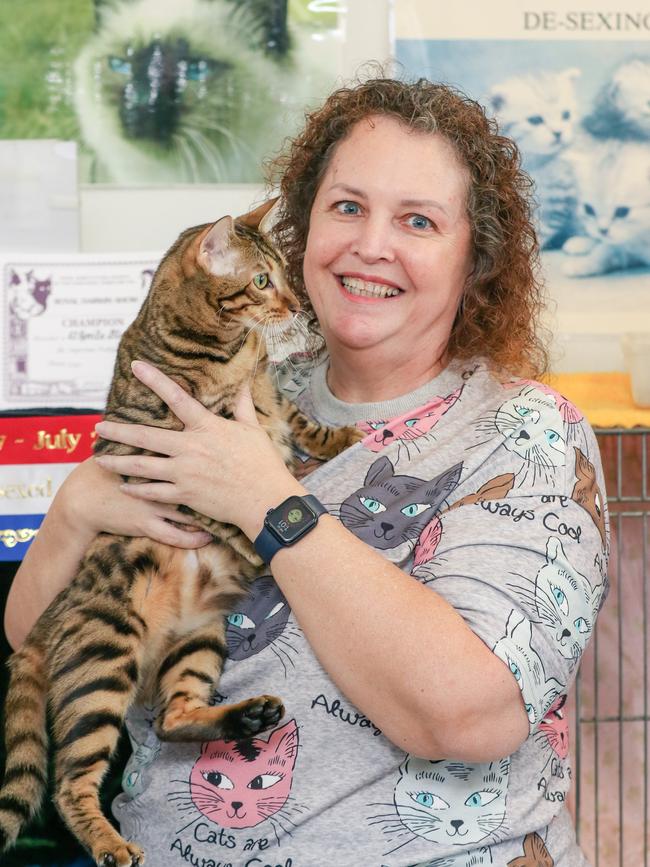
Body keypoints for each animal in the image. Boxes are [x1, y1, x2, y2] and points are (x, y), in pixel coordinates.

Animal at [0, 198, 360, 867]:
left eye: (284, 273)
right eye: (263, 280)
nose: (297, 306)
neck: (225, 348)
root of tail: (45, 625)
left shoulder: (268, 395)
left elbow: (301, 422)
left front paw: (337, 439)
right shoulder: (169, 456)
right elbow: (222, 506)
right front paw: (261, 533)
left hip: (200, 639)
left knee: (173, 715)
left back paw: (245, 717)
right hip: (104, 658)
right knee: (70, 783)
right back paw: (111, 843)